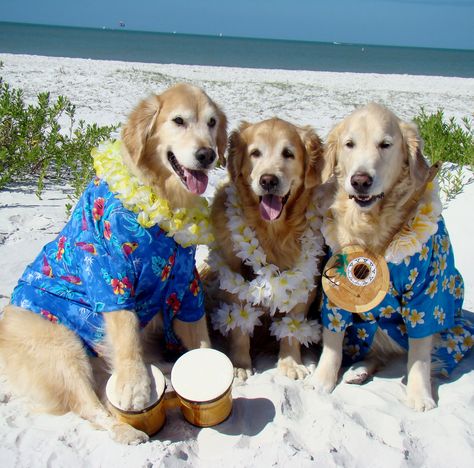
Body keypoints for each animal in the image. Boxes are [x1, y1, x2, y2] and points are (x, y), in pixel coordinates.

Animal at [0, 82, 228, 444]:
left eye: (212, 123)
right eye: (178, 120)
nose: (207, 155)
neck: (161, 196)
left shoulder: (185, 282)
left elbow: (199, 334)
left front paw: (205, 364)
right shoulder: (111, 274)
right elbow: (126, 334)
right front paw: (134, 385)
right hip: (63, 347)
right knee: (90, 406)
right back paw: (125, 429)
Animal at [210, 117, 326, 380]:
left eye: (288, 154)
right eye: (255, 153)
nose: (268, 180)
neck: (273, 233)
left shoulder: (304, 284)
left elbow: (292, 327)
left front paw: (290, 362)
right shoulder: (234, 278)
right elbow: (239, 328)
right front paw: (239, 364)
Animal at [312, 102, 470, 410]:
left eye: (385, 145)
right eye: (349, 144)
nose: (360, 180)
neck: (372, 225)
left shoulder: (427, 295)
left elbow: (419, 354)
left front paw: (420, 395)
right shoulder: (334, 287)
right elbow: (333, 339)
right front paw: (322, 380)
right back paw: (358, 370)